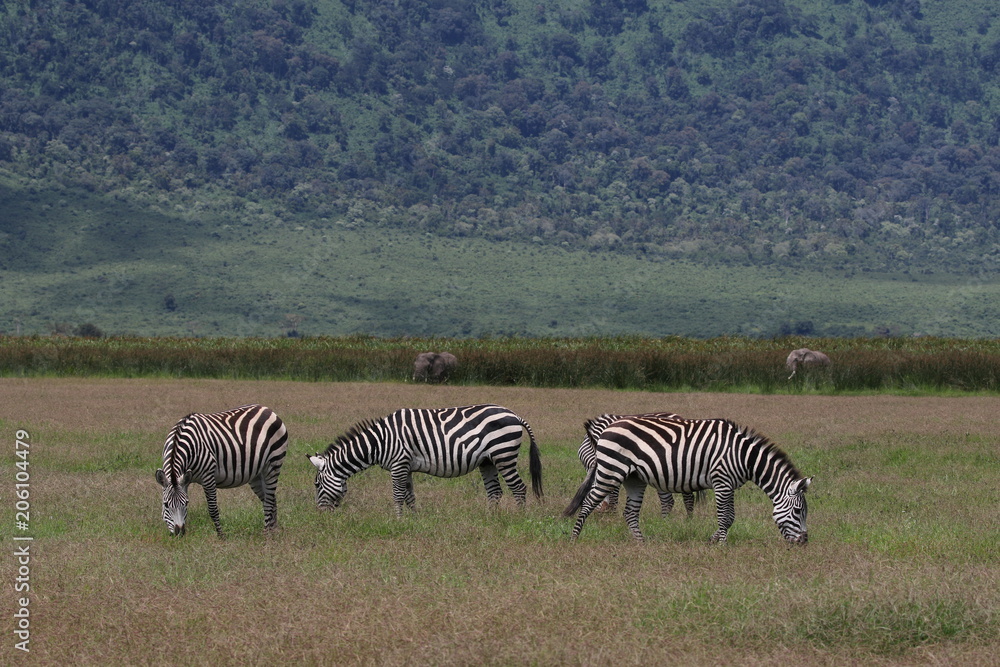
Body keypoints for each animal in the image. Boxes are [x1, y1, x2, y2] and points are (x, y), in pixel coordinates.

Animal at [154, 404, 288, 537]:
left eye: (186, 503)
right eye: (166, 504)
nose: (179, 533)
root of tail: (267, 409)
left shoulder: (208, 476)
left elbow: (213, 509)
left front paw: (221, 536)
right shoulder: (185, 480)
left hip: (273, 464)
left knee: (269, 501)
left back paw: (266, 535)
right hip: (257, 474)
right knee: (270, 499)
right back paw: (272, 532)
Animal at [308, 404, 542, 516]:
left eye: (317, 485)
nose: (320, 514)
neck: (380, 441)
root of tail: (514, 414)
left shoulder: (398, 464)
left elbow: (397, 495)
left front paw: (397, 519)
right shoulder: (407, 467)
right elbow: (409, 496)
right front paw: (413, 519)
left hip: (503, 454)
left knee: (518, 488)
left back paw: (519, 517)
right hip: (487, 461)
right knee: (495, 492)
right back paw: (491, 518)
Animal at [564, 415, 812, 544]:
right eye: (798, 511)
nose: (804, 541)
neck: (743, 456)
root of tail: (607, 427)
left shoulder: (729, 485)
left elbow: (730, 517)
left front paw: (714, 540)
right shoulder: (722, 481)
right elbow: (726, 517)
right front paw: (721, 544)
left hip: (634, 478)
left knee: (630, 513)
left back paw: (641, 543)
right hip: (611, 471)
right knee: (588, 502)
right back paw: (574, 539)